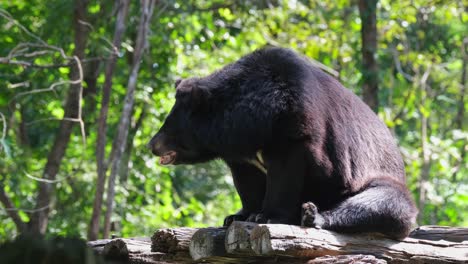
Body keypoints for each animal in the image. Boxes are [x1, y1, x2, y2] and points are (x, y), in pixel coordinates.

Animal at [149, 46, 416, 238]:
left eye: (169, 127)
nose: (151, 145)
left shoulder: (295, 130)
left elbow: (284, 175)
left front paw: (266, 216)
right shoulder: (239, 155)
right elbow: (247, 183)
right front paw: (239, 215)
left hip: (374, 181)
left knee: (383, 204)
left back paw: (312, 215)